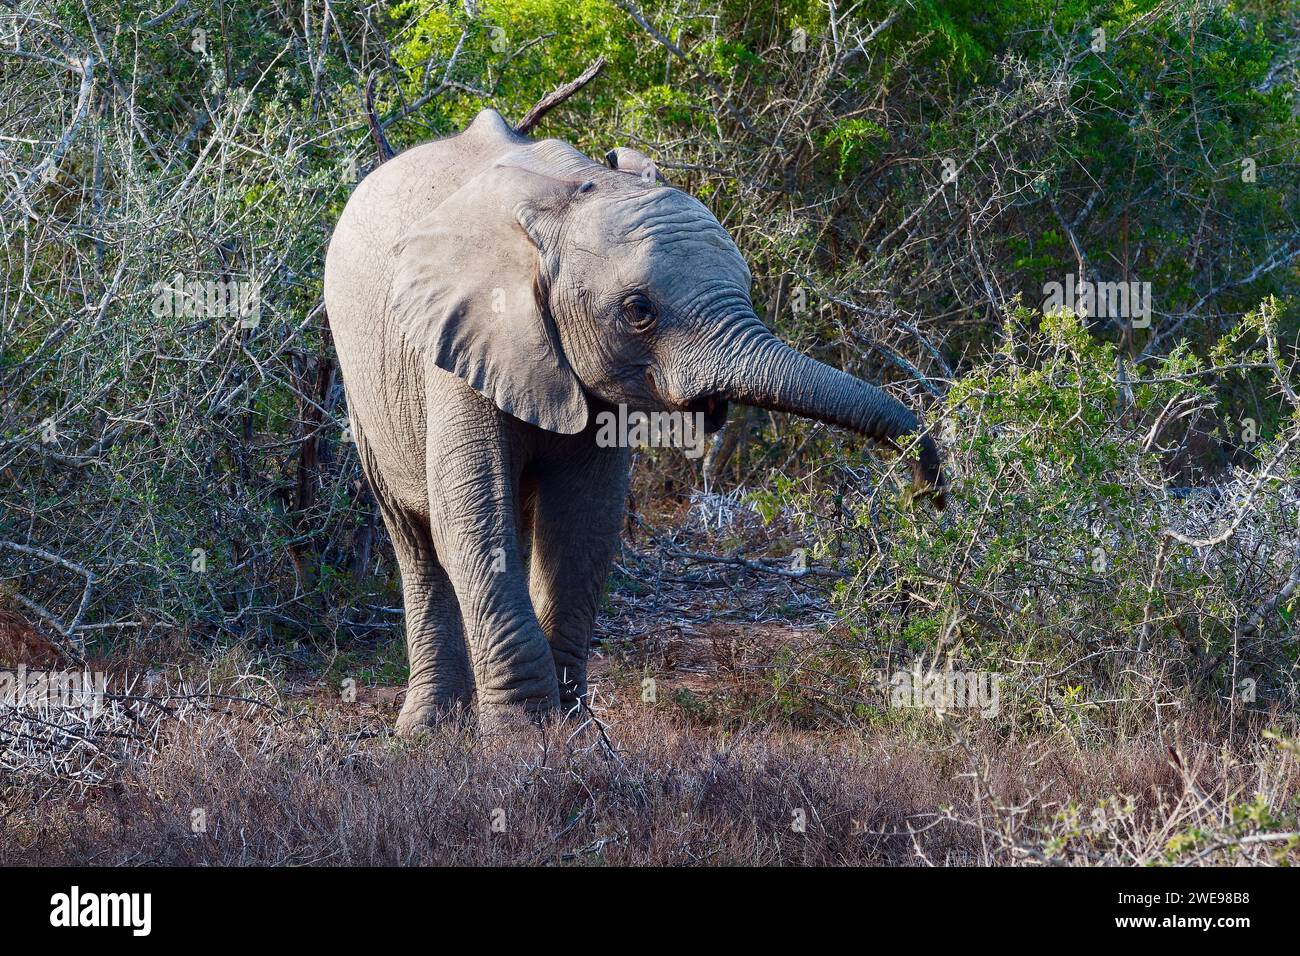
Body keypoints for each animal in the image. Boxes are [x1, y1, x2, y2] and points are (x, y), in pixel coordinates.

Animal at [319, 108, 941, 733]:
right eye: (639, 311)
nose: (926, 490)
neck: (565, 200)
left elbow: (583, 524)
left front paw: (570, 730)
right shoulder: (460, 343)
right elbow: (473, 523)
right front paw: (522, 737)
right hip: (363, 383)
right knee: (415, 539)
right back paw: (425, 729)